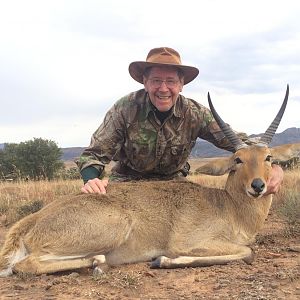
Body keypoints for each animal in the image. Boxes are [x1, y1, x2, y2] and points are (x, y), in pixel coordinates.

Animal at [0, 85, 296, 276]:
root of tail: (33, 220)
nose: (258, 186)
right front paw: (161, 260)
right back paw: (97, 262)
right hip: (113, 226)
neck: (229, 206)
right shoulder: (187, 242)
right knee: (23, 266)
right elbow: (247, 251)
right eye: (237, 159)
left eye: (268, 157)